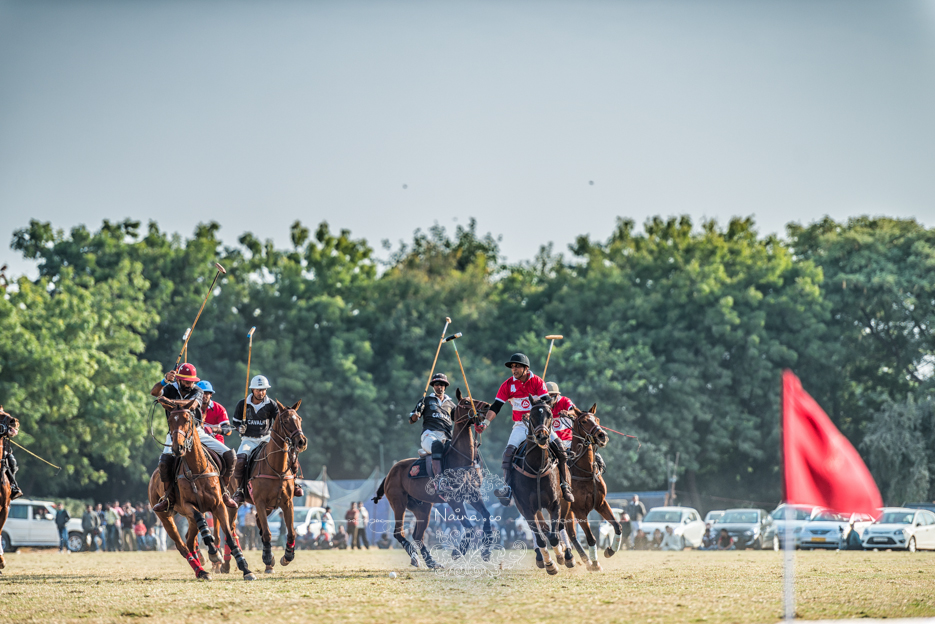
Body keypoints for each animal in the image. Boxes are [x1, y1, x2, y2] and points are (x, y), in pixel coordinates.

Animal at [148, 400, 256, 580]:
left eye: (187, 419)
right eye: (170, 421)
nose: (178, 447)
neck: (197, 470)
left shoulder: (219, 505)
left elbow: (229, 535)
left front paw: (246, 569)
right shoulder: (188, 506)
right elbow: (203, 523)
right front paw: (214, 553)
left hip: (190, 518)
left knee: (189, 541)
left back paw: (201, 569)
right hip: (165, 516)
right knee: (182, 545)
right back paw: (201, 570)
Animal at [236, 402, 308, 572]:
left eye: (299, 418)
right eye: (286, 421)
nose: (301, 441)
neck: (277, 468)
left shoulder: (287, 503)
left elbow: (291, 532)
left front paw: (287, 556)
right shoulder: (260, 502)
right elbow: (268, 533)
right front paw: (269, 557)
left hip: (269, 507)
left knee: (258, 522)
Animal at [372, 390, 498, 572]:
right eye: (466, 402)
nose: (488, 406)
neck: (460, 458)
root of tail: (389, 473)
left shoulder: (473, 494)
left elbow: (487, 516)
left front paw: (486, 552)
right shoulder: (454, 499)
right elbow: (469, 526)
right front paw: (457, 552)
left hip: (422, 507)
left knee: (418, 535)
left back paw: (432, 562)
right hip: (398, 502)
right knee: (398, 532)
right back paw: (415, 557)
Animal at [508, 400, 568, 576]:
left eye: (550, 415)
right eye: (533, 415)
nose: (542, 436)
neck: (537, 468)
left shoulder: (555, 503)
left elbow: (554, 535)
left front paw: (560, 556)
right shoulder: (527, 508)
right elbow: (541, 538)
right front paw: (550, 564)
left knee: (558, 526)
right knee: (543, 529)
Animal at [560, 404, 624, 572]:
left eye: (597, 419)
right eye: (583, 421)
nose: (602, 436)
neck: (585, 471)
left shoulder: (600, 503)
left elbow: (617, 526)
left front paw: (610, 550)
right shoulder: (579, 510)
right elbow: (590, 537)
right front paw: (596, 563)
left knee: (571, 533)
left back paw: (585, 560)